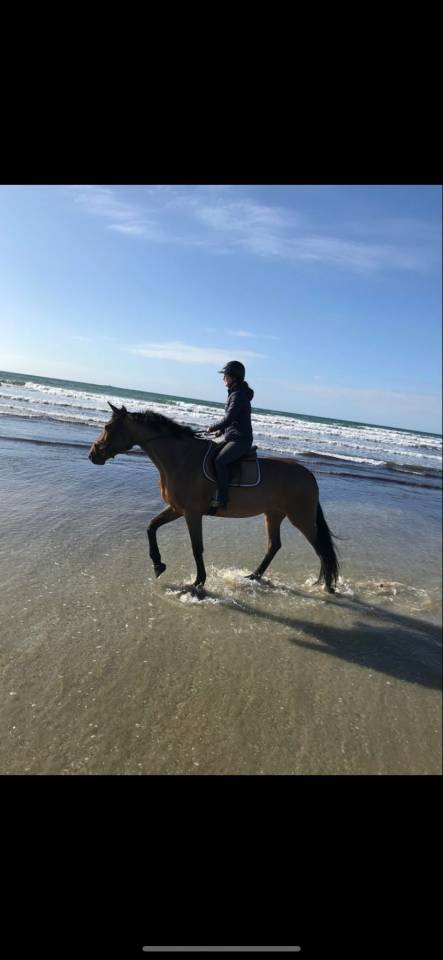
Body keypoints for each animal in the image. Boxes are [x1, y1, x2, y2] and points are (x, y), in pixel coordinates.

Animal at [89, 402, 340, 596]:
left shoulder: (191, 513)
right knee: (274, 546)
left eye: (108, 427)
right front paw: (158, 565)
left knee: (321, 549)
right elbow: (151, 527)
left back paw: (327, 587)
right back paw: (253, 576)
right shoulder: (177, 509)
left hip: (301, 518)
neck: (182, 458)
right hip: (273, 514)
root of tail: (309, 475)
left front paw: (198, 582)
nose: (93, 454)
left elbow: (196, 547)